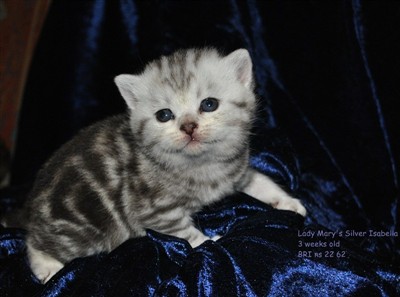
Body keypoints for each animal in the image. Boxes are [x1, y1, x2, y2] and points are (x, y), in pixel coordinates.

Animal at [19, 48, 306, 282]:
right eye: (164, 115)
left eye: (209, 104)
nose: (188, 126)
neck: (202, 164)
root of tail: (32, 205)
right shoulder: (154, 210)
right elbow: (185, 234)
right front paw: (211, 240)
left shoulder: (238, 170)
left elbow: (262, 181)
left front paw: (288, 202)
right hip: (87, 230)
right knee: (32, 240)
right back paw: (47, 267)